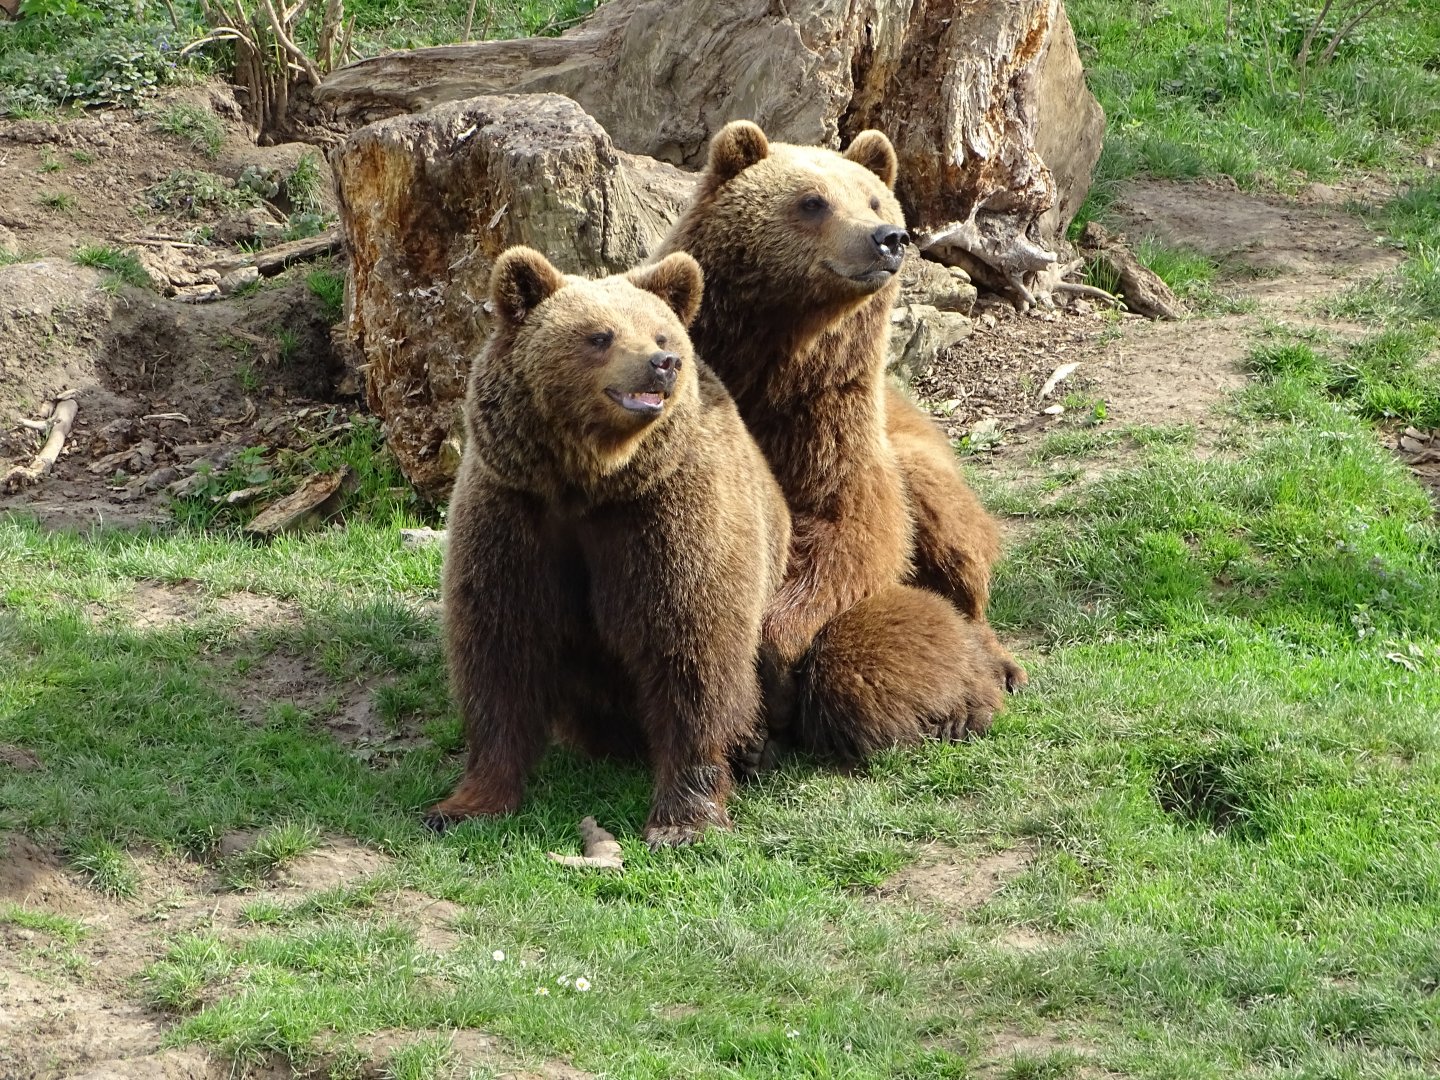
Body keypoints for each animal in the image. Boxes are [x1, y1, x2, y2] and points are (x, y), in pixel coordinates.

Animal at [426, 246, 791, 846]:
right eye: (600, 335)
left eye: (661, 334)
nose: (663, 364)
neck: (589, 482)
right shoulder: (513, 515)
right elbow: (500, 650)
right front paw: (467, 802)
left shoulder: (666, 518)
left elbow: (692, 652)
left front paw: (683, 820)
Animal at [655, 120, 1024, 762]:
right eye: (812, 201)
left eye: (874, 199)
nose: (887, 239)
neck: (775, 362)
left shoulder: (829, 427)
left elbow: (846, 535)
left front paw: (776, 667)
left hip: (922, 463)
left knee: (950, 541)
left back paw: (988, 674)